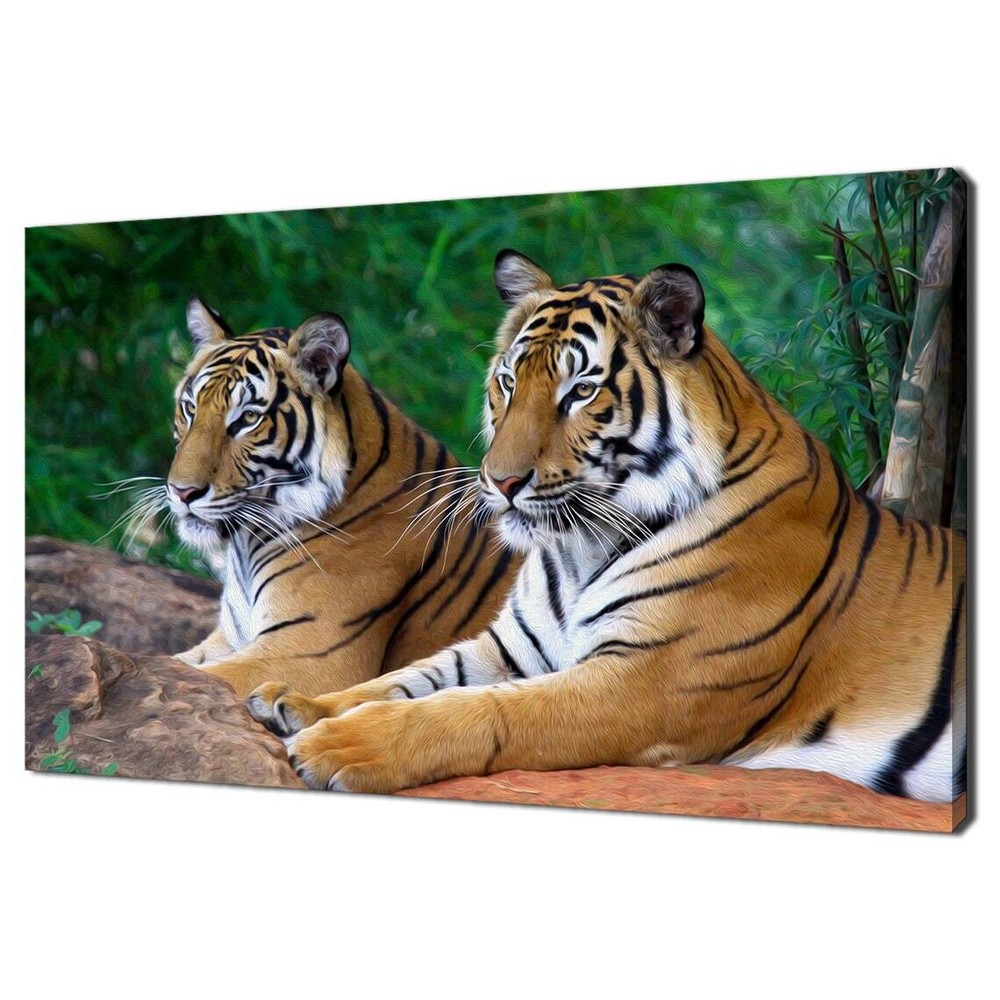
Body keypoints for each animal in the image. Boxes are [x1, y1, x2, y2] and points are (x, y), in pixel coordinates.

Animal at [167, 299, 518, 698]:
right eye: (190, 408)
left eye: (249, 418)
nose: (181, 491)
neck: (247, 545)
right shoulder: (227, 639)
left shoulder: (310, 653)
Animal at [247, 250, 967, 804]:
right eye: (508, 382)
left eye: (581, 392)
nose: (500, 481)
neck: (578, 547)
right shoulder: (512, 646)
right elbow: (407, 677)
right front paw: (296, 700)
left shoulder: (646, 682)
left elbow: (482, 708)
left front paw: (342, 744)